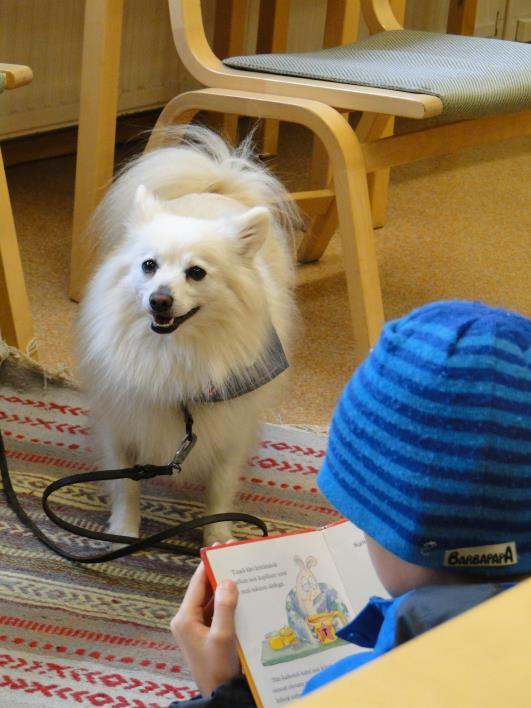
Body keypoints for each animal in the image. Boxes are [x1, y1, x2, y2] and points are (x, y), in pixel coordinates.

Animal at [78, 127, 300, 544]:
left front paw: (218, 539)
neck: (176, 352)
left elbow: (221, 488)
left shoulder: (230, 429)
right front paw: (125, 531)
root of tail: (217, 185)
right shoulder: (122, 422)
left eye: (196, 273)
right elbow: (125, 484)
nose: (159, 300)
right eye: (149, 266)